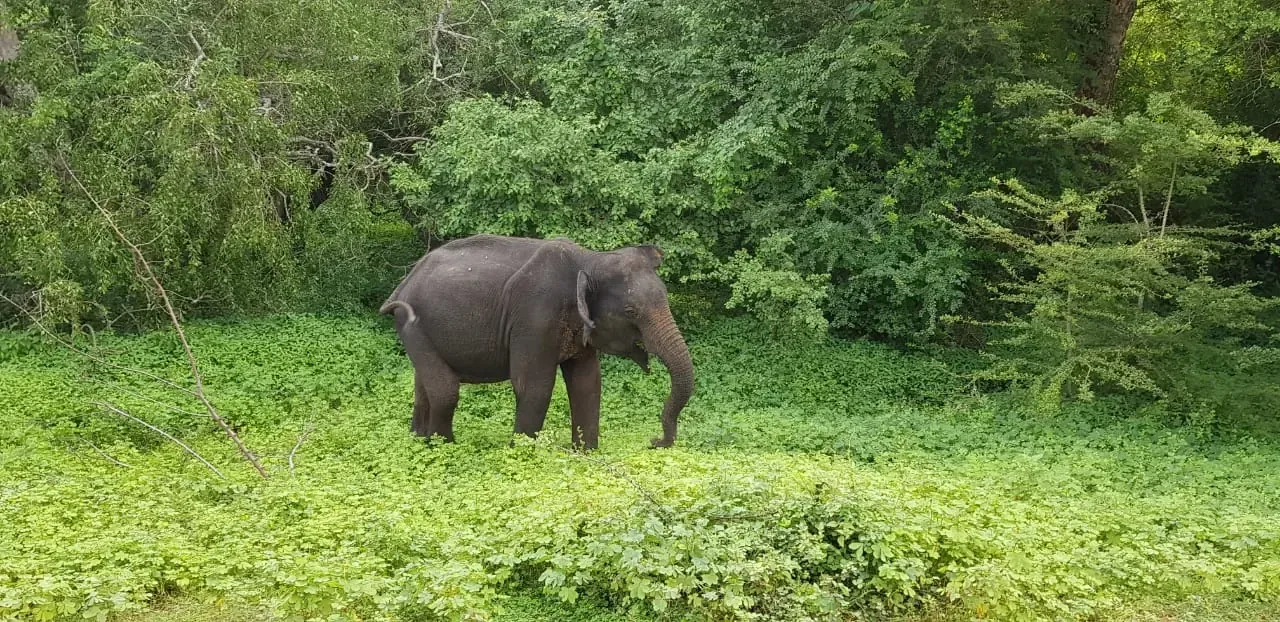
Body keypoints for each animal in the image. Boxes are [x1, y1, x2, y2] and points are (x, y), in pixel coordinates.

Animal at [378, 234, 695, 450]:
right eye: (631, 312)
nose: (654, 441)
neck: (590, 259)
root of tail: (404, 281)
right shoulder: (535, 316)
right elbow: (533, 387)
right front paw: (521, 455)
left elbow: (587, 383)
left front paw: (585, 454)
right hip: (413, 327)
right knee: (445, 391)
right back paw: (443, 449)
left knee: (425, 387)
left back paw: (419, 441)